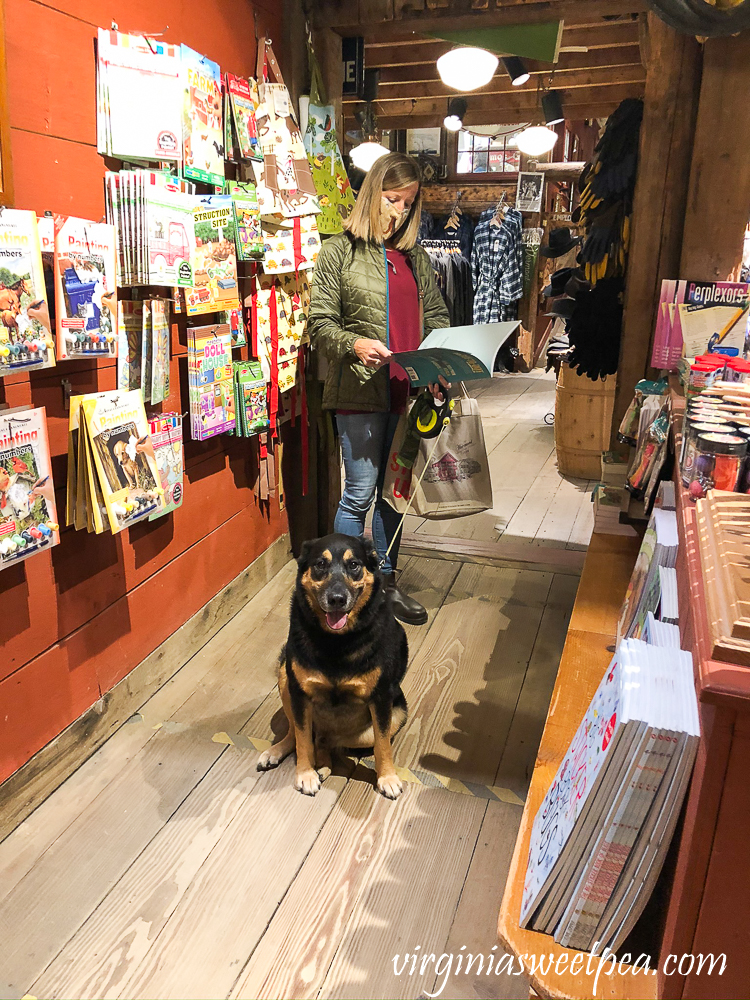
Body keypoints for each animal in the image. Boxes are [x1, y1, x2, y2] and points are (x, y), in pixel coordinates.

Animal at [258, 536, 412, 800]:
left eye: (354, 565)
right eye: (320, 564)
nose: (337, 599)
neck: (336, 640)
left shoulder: (381, 698)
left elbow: (383, 745)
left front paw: (387, 778)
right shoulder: (299, 692)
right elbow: (302, 739)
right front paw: (305, 774)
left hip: (394, 716)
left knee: (326, 741)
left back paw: (324, 765)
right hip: (284, 678)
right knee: (299, 734)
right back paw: (279, 753)